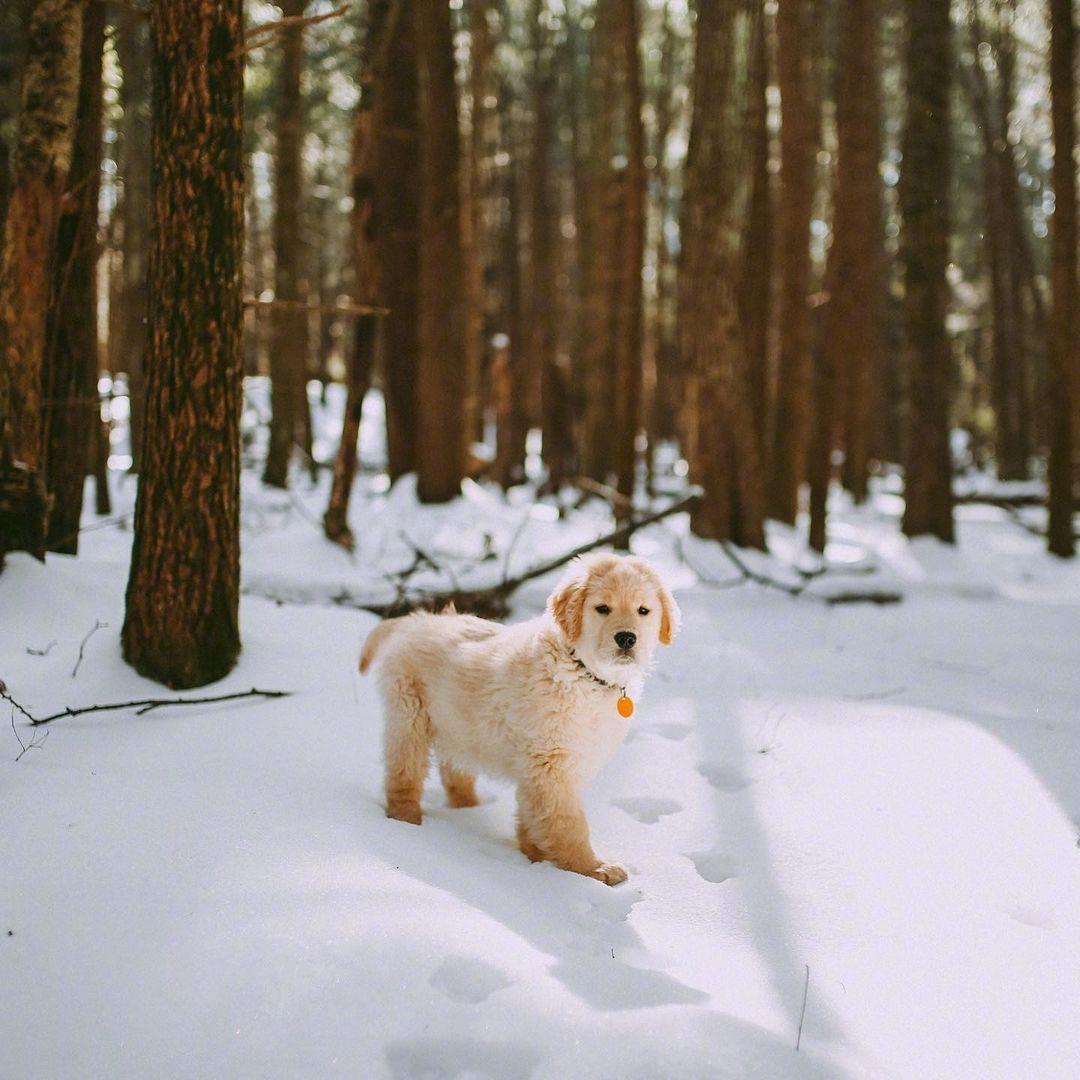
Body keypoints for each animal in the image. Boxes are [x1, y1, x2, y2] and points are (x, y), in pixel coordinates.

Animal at [358, 552, 678, 881]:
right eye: (603, 608)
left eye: (643, 610)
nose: (626, 638)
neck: (583, 671)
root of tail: (416, 621)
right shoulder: (550, 763)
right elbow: (566, 822)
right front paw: (589, 867)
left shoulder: (544, 766)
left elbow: (536, 815)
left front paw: (534, 855)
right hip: (409, 715)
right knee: (404, 773)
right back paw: (407, 821)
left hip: (459, 725)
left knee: (454, 771)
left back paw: (467, 808)